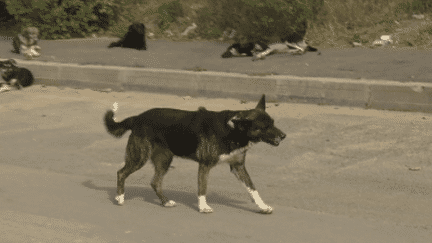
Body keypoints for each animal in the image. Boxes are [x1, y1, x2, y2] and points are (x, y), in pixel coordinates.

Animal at [104, 94, 286, 214]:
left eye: (273, 123)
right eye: (264, 127)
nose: (284, 136)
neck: (233, 130)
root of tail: (137, 117)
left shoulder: (238, 166)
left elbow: (253, 189)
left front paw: (262, 206)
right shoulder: (205, 165)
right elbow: (202, 188)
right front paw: (203, 207)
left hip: (164, 160)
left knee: (155, 182)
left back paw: (165, 202)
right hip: (139, 157)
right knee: (121, 173)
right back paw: (120, 198)